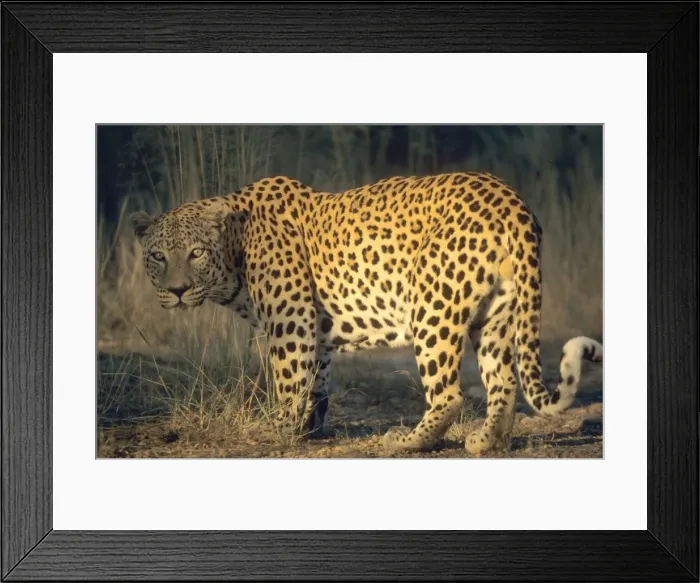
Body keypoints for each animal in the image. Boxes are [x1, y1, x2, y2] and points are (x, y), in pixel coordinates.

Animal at [130, 172, 603, 455]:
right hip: (497, 312)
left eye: (195, 253)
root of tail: (510, 198)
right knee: (502, 381)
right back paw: (488, 441)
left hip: (432, 302)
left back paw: (407, 441)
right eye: (157, 256)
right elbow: (315, 382)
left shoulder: (289, 320)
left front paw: (276, 430)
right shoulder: (314, 327)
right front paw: (309, 428)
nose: (176, 291)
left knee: (448, 395)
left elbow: (289, 379)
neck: (233, 252)